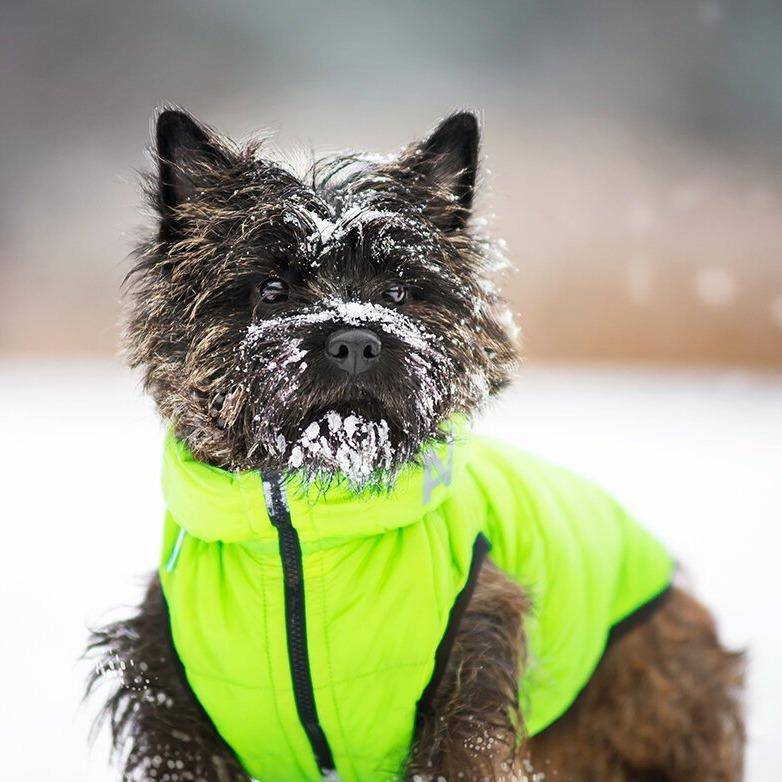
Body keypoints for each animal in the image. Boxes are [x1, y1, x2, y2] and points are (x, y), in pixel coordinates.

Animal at [87, 112, 748, 782]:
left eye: (399, 292)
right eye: (271, 289)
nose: (355, 341)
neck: (304, 528)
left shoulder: (470, 675)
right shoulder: (174, 709)